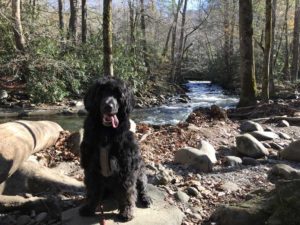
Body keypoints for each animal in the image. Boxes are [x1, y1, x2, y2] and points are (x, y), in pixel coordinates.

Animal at [79, 76, 151, 221]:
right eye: (101, 92)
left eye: (118, 94)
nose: (108, 106)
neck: (106, 133)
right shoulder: (91, 167)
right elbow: (92, 191)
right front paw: (89, 208)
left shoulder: (126, 168)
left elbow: (127, 192)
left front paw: (126, 211)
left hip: (140, 171)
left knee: (142, 187)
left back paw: (146, 198)